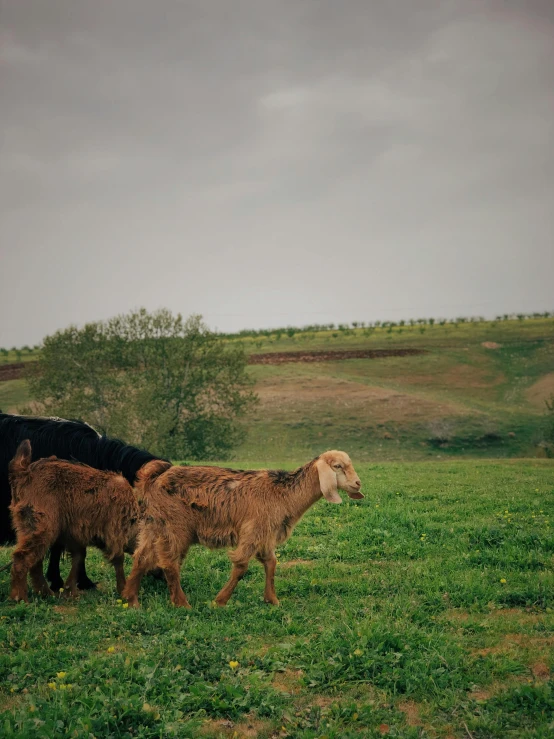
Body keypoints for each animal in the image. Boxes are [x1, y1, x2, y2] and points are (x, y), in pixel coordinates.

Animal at [8, 440, 139, 600]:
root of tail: (24, 473)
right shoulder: (114, 532)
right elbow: (118, 559)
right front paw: (123, 591)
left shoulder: (75, 534)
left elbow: (78, 558)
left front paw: (70, 590)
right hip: (43, 527)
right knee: (22, 558)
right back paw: (20, 598)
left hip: (29, 526)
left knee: (35, 560)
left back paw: (45, 592)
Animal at [122, 454, 360, 608]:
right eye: (338, 466)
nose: (358, 483)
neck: (283, 493)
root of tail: (153, 479)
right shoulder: (253, 531)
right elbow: (241, 567)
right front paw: (219, 601)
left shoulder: (265, 534)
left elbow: (271, 563)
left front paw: (272, 600)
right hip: (175, 527)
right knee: (170, 564)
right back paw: (181, 604)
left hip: (154, 524)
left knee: (141, 558)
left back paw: (131, 600)